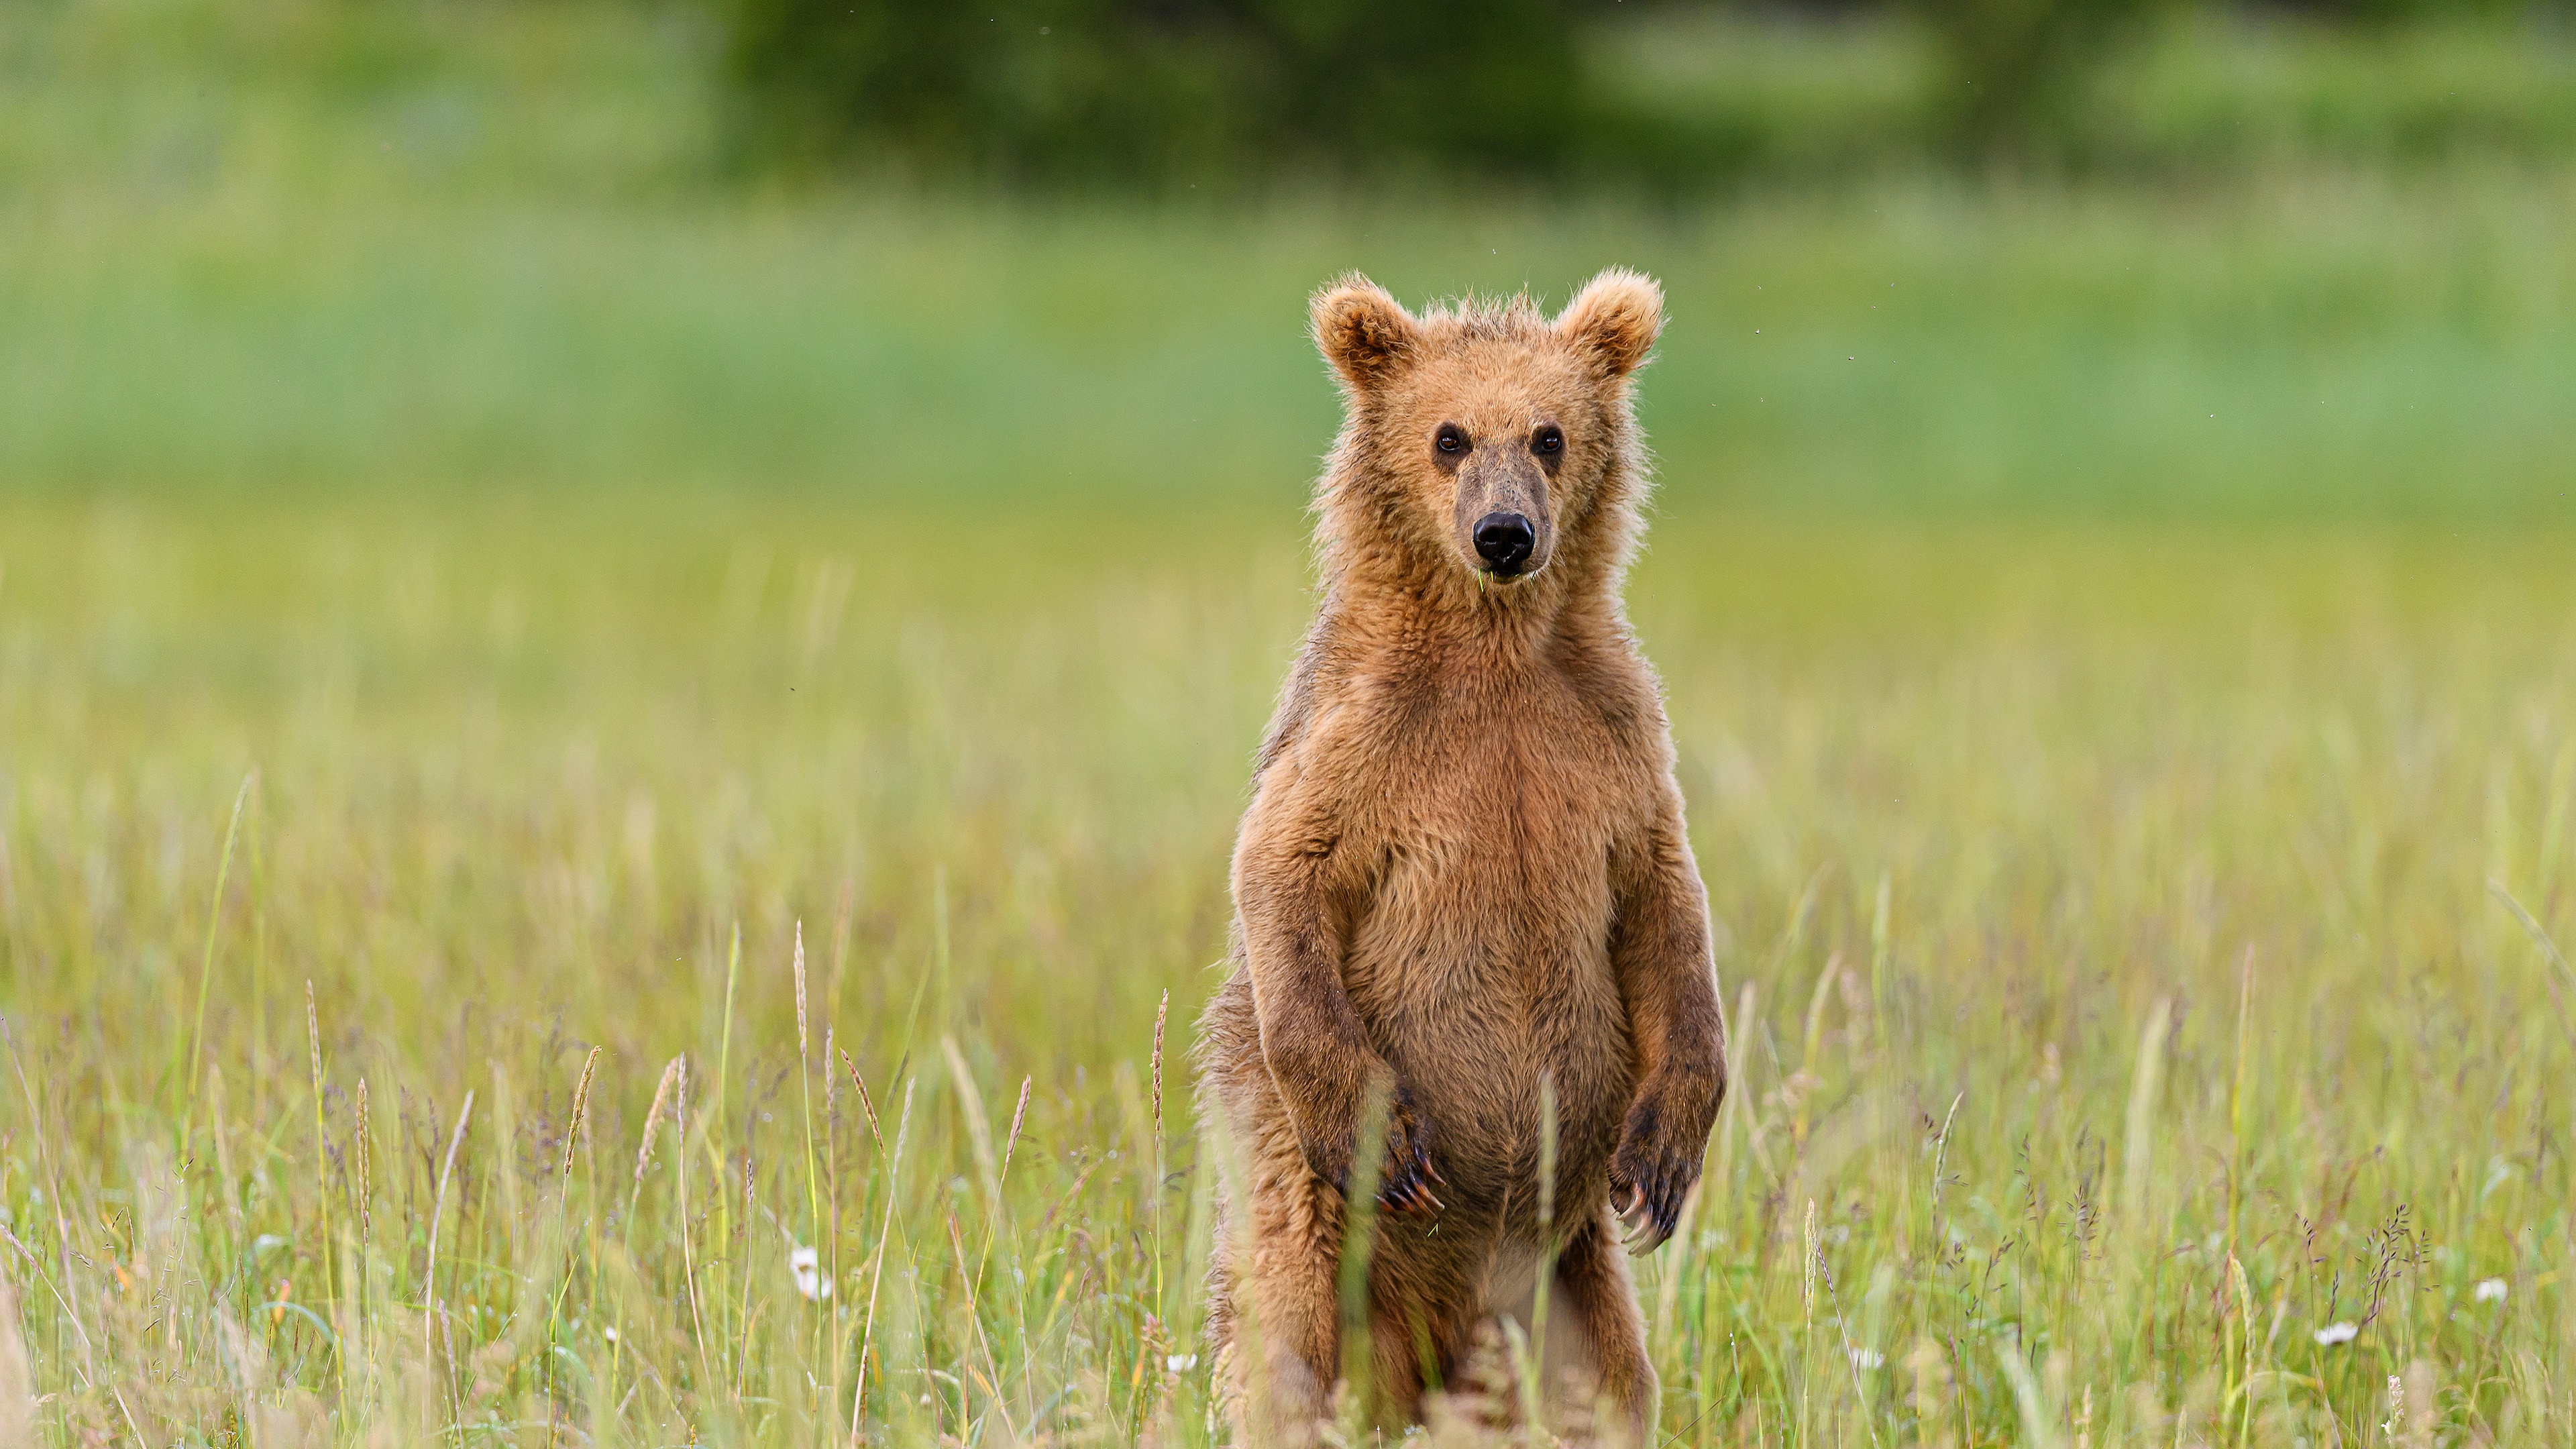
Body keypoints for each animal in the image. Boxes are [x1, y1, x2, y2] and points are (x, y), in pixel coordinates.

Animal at [1190, 268, 1721, 1433]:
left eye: (1550, 435)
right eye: (1448, 436)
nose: (1505, 533)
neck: (1496, 649)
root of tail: (1431, 1343)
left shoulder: (1608, 738)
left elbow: (1666, 907)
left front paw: (1666, 1157)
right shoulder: (1364, 739)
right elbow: (1283, 874)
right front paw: (1385, 1137)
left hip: (1569, 1284)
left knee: (1614, 1386)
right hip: (1310, 1237)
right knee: (1286, 1359)